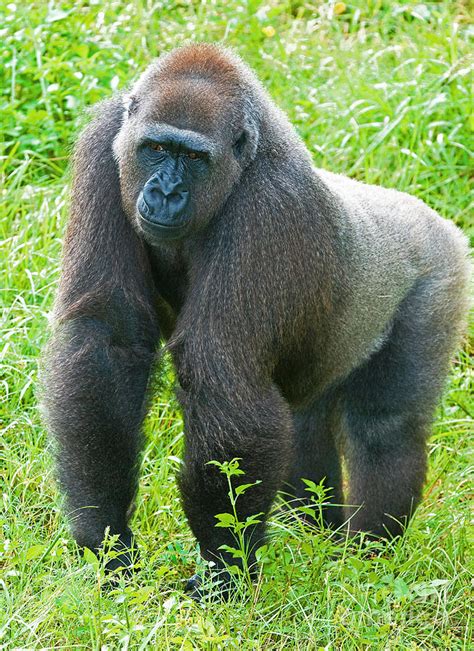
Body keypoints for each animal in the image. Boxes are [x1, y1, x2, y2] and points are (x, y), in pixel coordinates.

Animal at [43, 43, 470, 592]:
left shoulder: (268, 204)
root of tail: (438, 221)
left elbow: (224, 374)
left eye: (194, 158)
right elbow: (107, 338)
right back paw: (322, 536)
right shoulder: (105, 144)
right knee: (305, 429)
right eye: (156, 149)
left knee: (386, 427)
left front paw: (224, 569)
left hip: (441, 273)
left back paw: (367, 559)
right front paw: (107, 538)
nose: (165, 193)